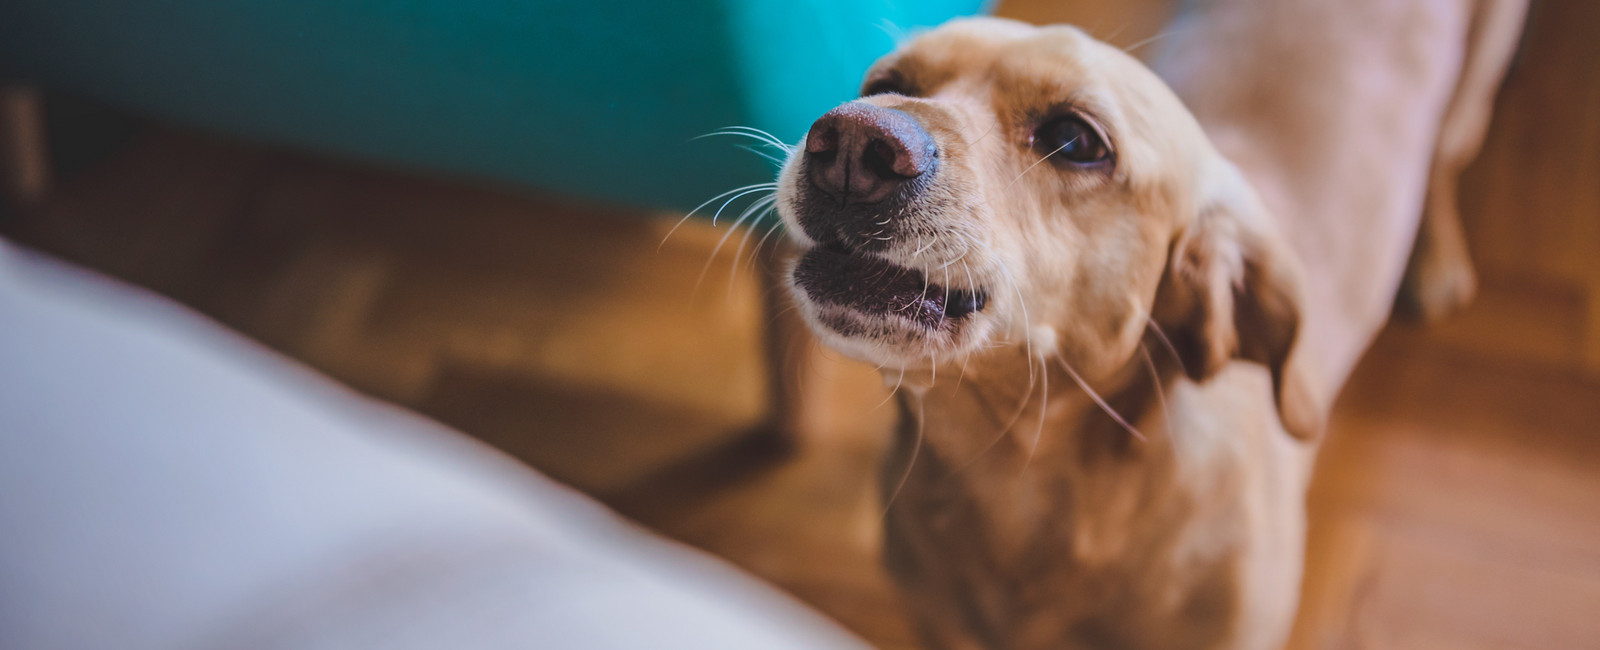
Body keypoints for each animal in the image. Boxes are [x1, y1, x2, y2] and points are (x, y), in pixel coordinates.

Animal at [774, 6, 1523, 650]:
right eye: (885, 85)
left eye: (1074, 140)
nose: (850, 142)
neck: (1021, 478)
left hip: (1477, 82)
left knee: (1446, 161)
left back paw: (1437, 259)